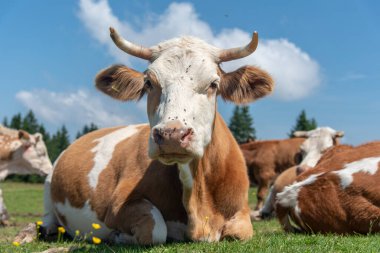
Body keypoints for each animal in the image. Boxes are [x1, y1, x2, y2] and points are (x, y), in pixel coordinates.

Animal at [39, 27, 274, 245]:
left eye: (213, 84)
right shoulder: (118, 206)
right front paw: (119, 236)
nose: (172, 135)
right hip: (49, 185)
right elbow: (156, 230)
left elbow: (241, 232)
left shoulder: (241, 213)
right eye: (149, 83)